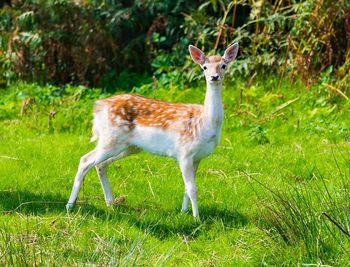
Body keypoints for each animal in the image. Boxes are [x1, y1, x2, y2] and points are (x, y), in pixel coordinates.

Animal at [66, 41, 238, 218]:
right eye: (204, 67)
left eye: (223, 65)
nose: (214, 77)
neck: (205, 123)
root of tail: (98, 107)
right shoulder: (184, 152)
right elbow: (192, 188)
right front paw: (196, 218)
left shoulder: (197, 157)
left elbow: (186, 187)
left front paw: (184, 212)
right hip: (110, 139)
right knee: (85, 160)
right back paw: (70, 206)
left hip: (129, 146)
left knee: (101, 165)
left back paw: (111, 204)